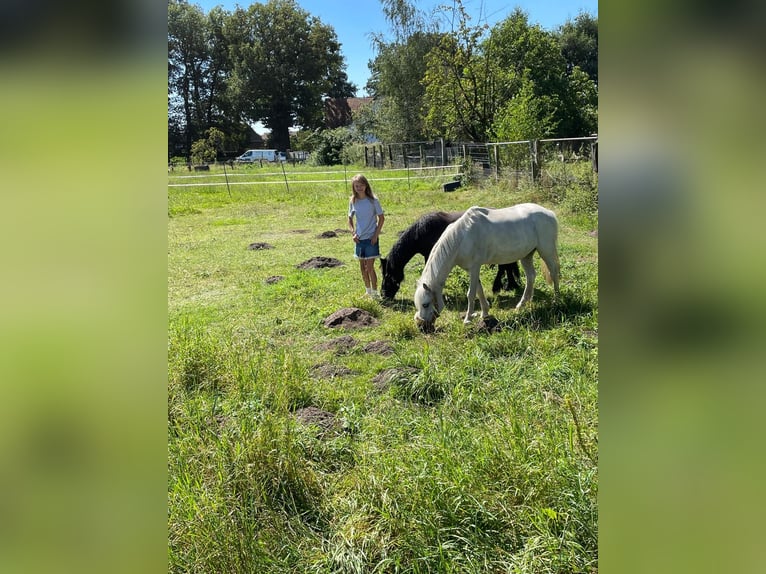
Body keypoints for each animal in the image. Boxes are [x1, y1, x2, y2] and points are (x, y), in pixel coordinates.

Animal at [382, 212, 524, 302]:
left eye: (388, 277)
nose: (384, 296)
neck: (421, 232)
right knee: (507, 266)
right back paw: (509, 286)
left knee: (504, 267)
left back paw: (502, 286)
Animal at [416, 206, 560, 332]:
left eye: (425, 304)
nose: (421, 327)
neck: (462, 238)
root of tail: (550, 213)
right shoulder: (471, 270)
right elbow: (479, 291)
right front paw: (484, 313)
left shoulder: (475, 267)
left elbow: (471, 293)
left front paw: (467, 319)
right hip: (526, 255)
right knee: (531, 276)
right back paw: (522, 304)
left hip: (546, 250)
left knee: (554, 272)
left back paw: (556, 300)